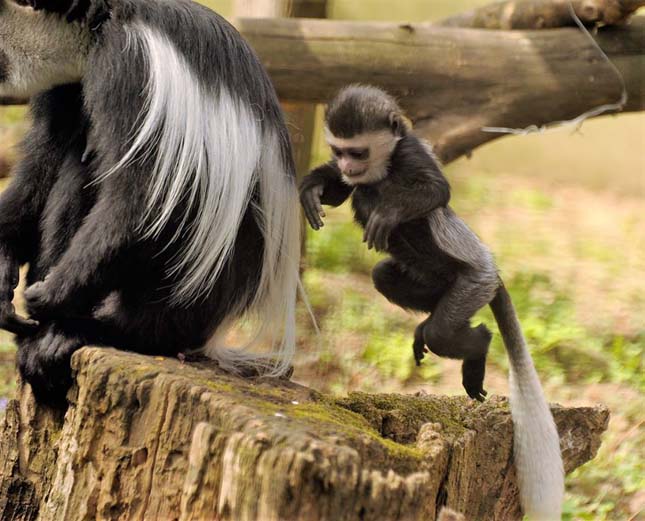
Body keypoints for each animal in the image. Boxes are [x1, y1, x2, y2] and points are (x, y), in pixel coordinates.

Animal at [0, 0, 302, 404]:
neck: (99, 26)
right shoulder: (66, 89)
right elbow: (41, 163)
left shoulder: (130, 67)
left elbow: (141, 203)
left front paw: (47, 296)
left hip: (173, 298)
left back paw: (74, 332)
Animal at [300, 86, 560, 520]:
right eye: (339, 151)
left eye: (358, 152)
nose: (348, 166)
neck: (384, 164)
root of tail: (494, 272)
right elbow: (340, 192)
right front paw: (315, 186)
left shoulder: (411, 153)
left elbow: (437, 190)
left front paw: (387, 210)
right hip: (431, 284)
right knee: (385, 276)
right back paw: (424, 326)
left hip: (473, 284)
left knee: (449, 329)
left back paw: (476, 347)